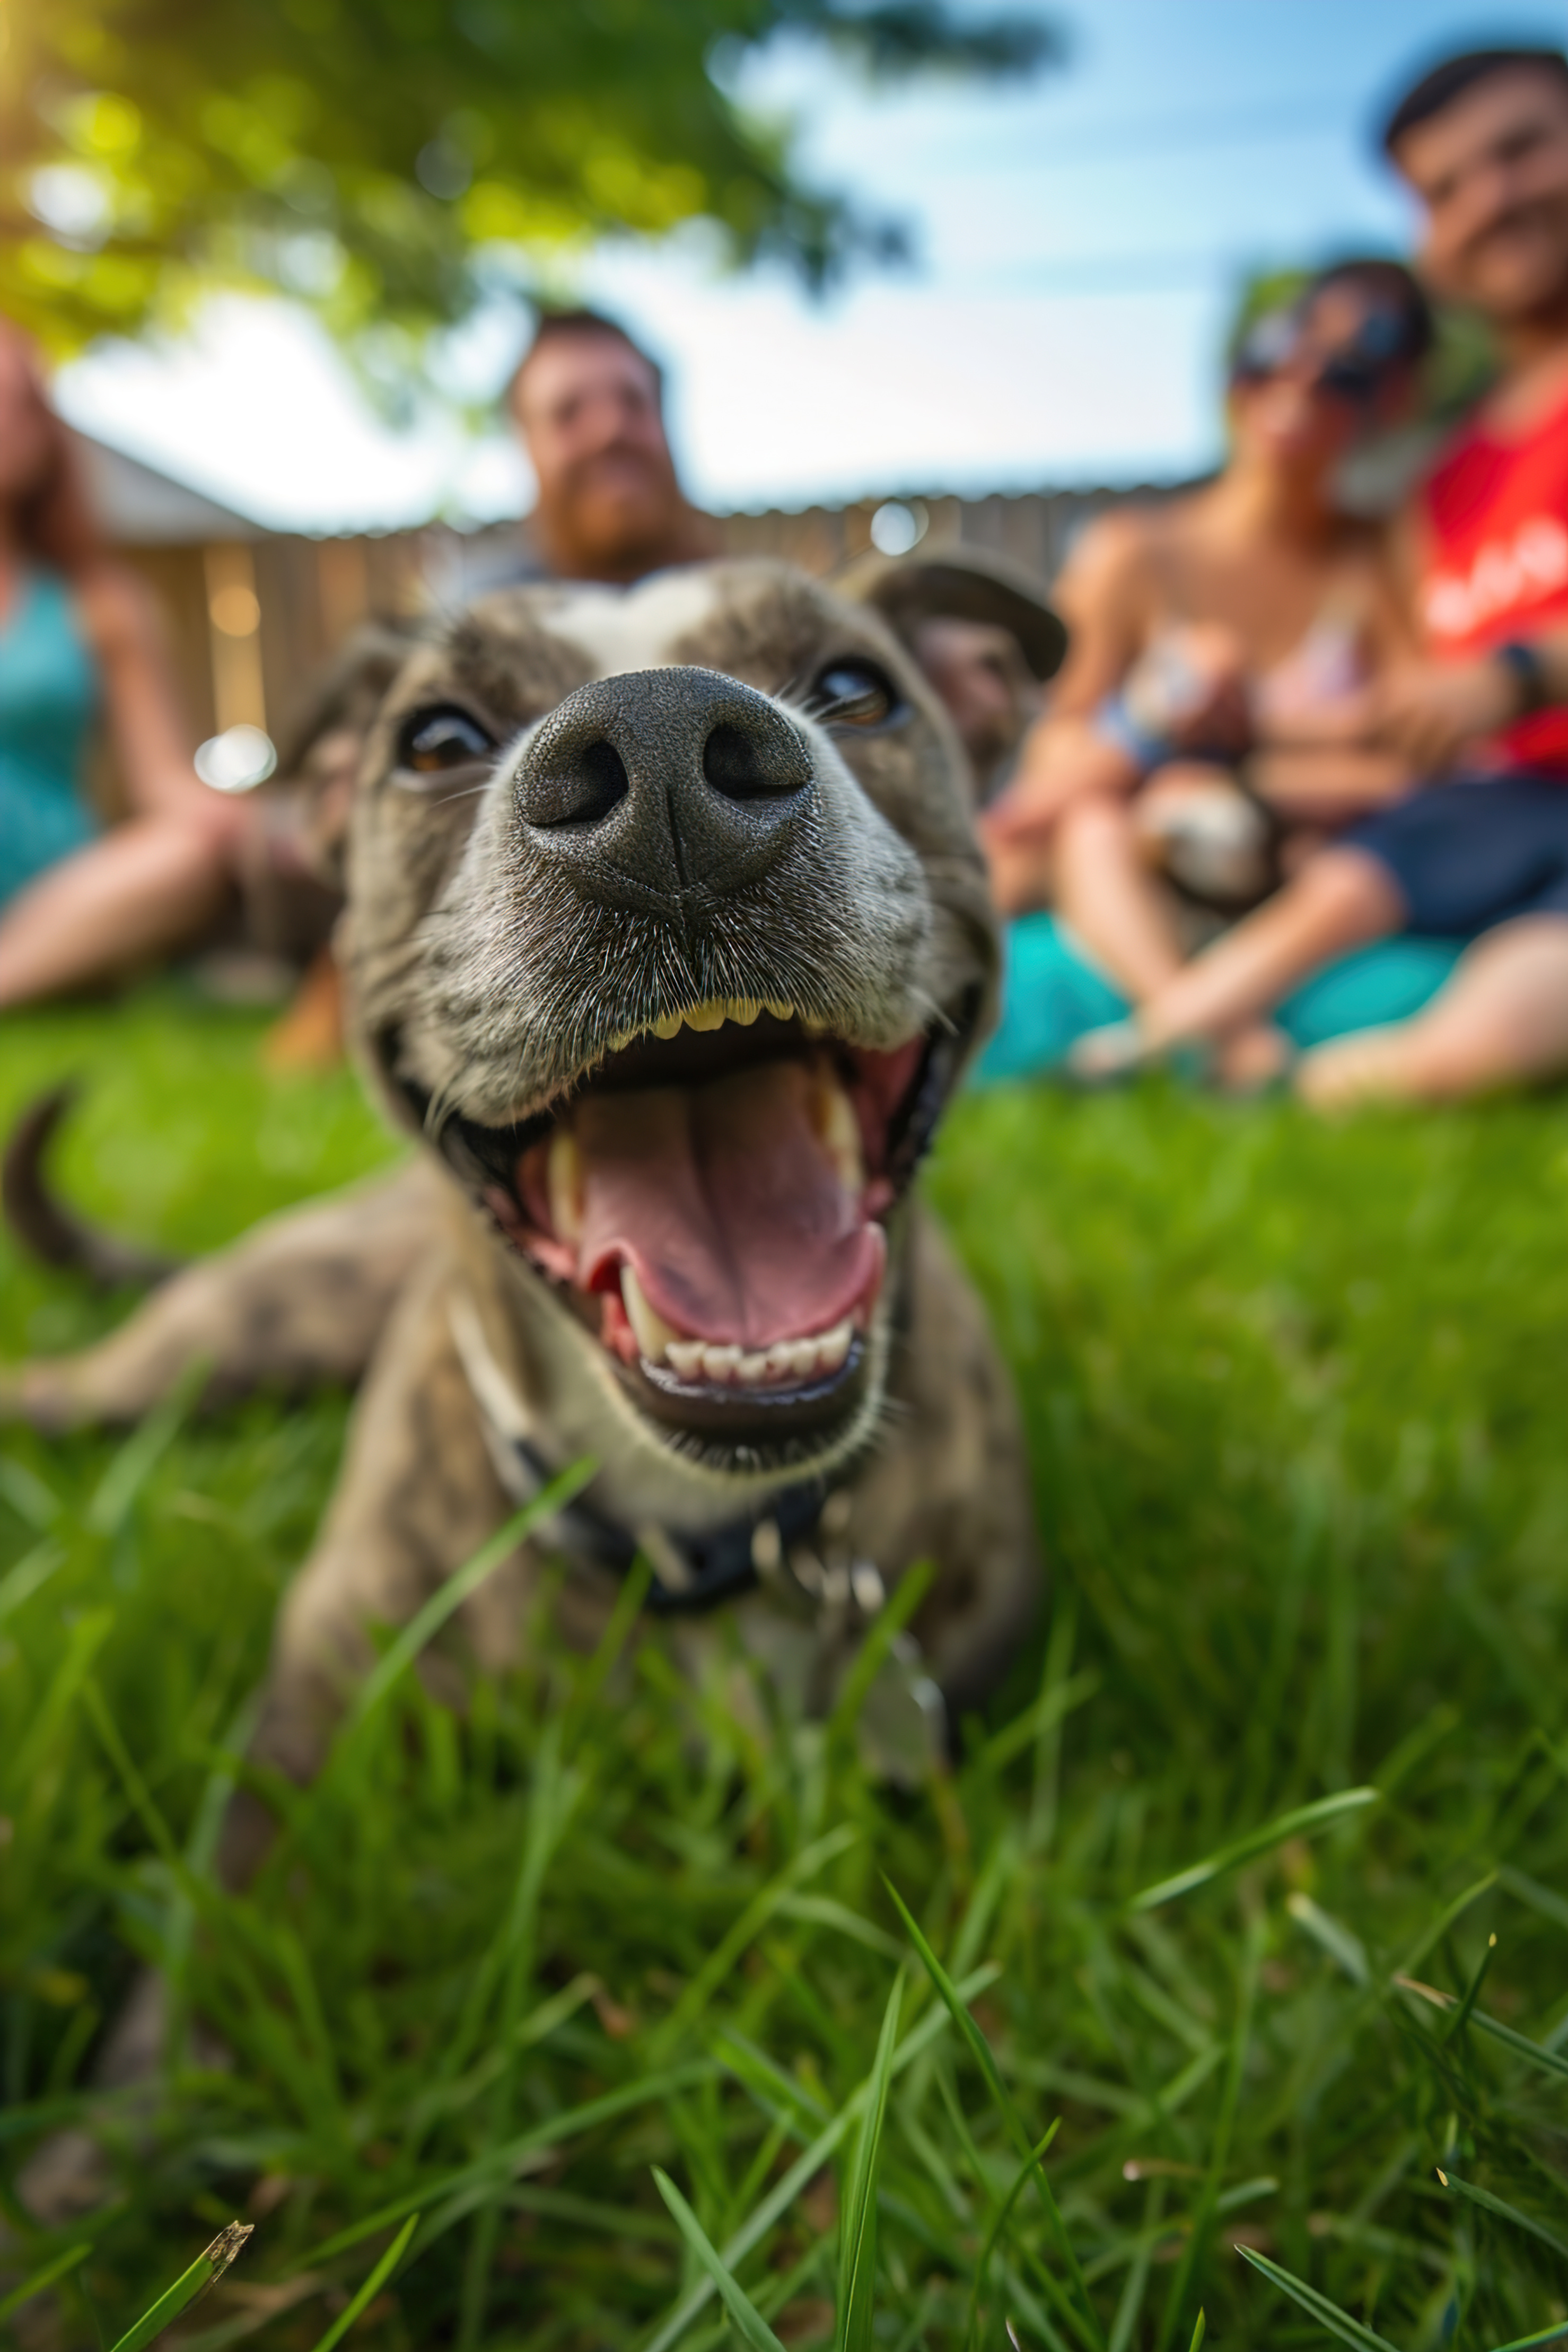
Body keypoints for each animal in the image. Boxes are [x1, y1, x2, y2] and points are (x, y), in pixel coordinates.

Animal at [9, 550, 1053, 1872]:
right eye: (437, 739)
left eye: (857, 689)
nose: (661, 751)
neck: (690, 1518)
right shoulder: (299, 1754)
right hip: (209, 1344)